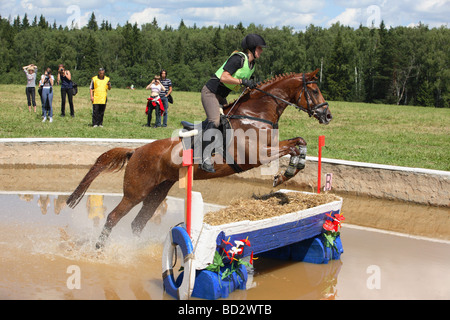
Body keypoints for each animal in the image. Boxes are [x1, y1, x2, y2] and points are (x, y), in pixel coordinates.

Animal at [67, 69, 334, 248]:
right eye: (314, 90)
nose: (327, 116)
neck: (255, 114)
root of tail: (136, 152)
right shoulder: (257, 154)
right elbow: (291, 147)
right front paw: (284, 174)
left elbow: (299, 142)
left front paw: (291, 170)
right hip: (136, 192)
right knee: (113, 217)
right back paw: (100, 250)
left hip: (157, 192)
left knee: (137, 223)